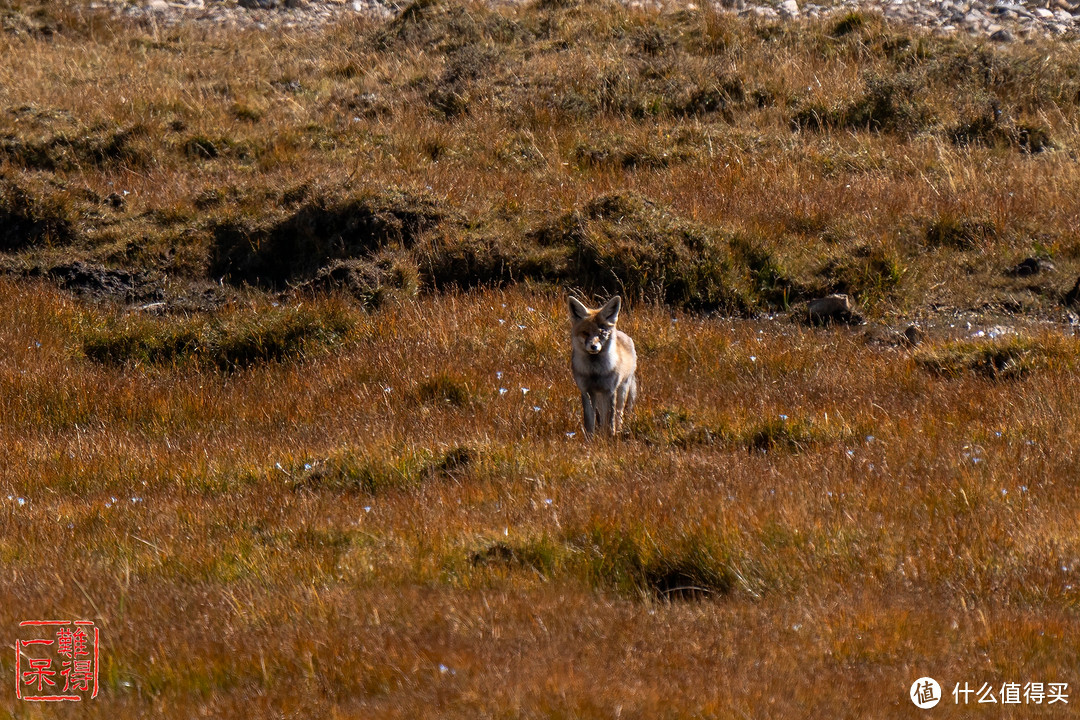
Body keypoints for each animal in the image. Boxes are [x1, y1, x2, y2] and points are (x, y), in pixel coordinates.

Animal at [570, 293, 635, 440]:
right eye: (585, 333)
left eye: (601, 333)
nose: (594, 347)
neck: (595, 372)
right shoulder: (586, 391)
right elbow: (589, 421)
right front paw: (589, 440)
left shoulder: (610, 390)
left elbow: (610, 419)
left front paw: (609, 437)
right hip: (599, 396)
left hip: (622, 389)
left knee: (618, 414)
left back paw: (618, 430)